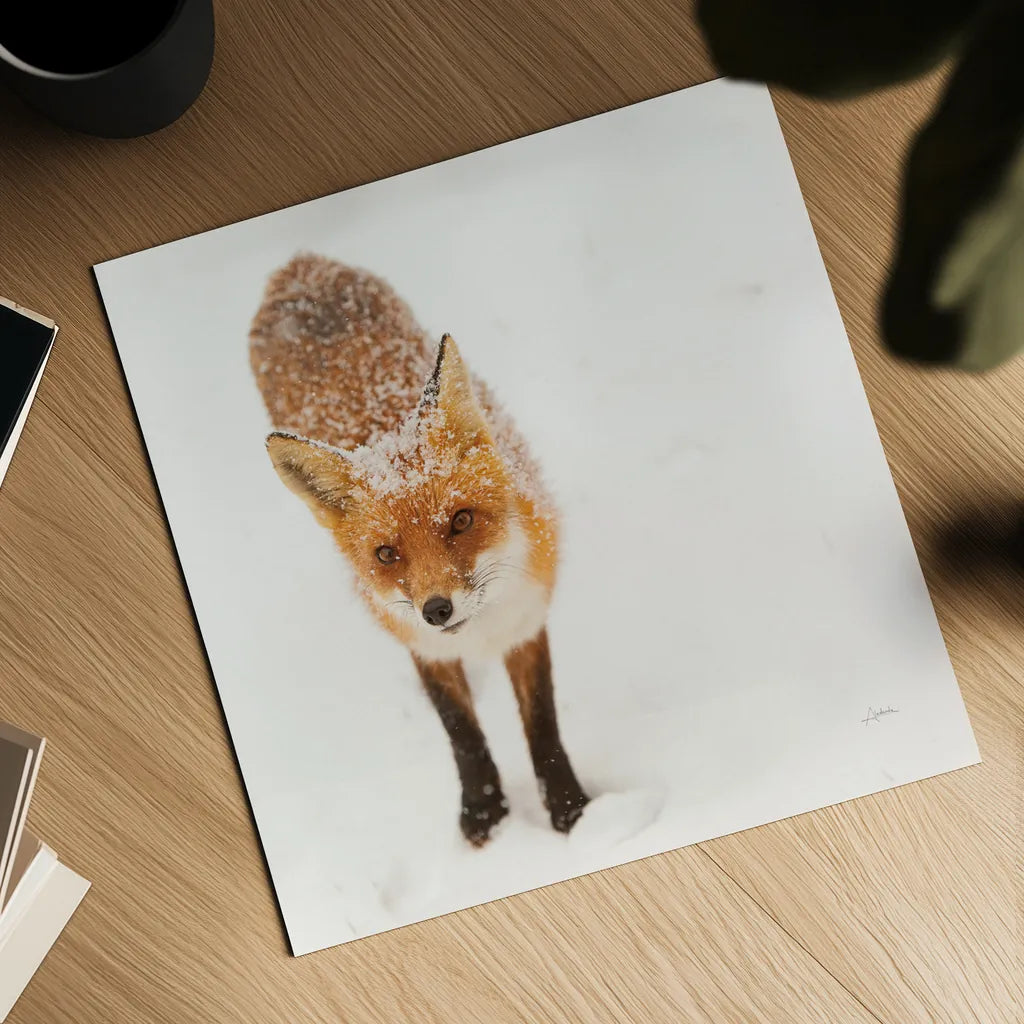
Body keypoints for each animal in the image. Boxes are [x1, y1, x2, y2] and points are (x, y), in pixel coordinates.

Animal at [249, 253, 589, 846]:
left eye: (461, 520)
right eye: (387, 555)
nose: (437, 610)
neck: (479, 632)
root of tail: (299, 264)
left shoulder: (525, 621)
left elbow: (542, 722)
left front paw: (571, 811)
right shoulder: (421, 644)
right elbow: (461, 730)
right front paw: (484, 810)